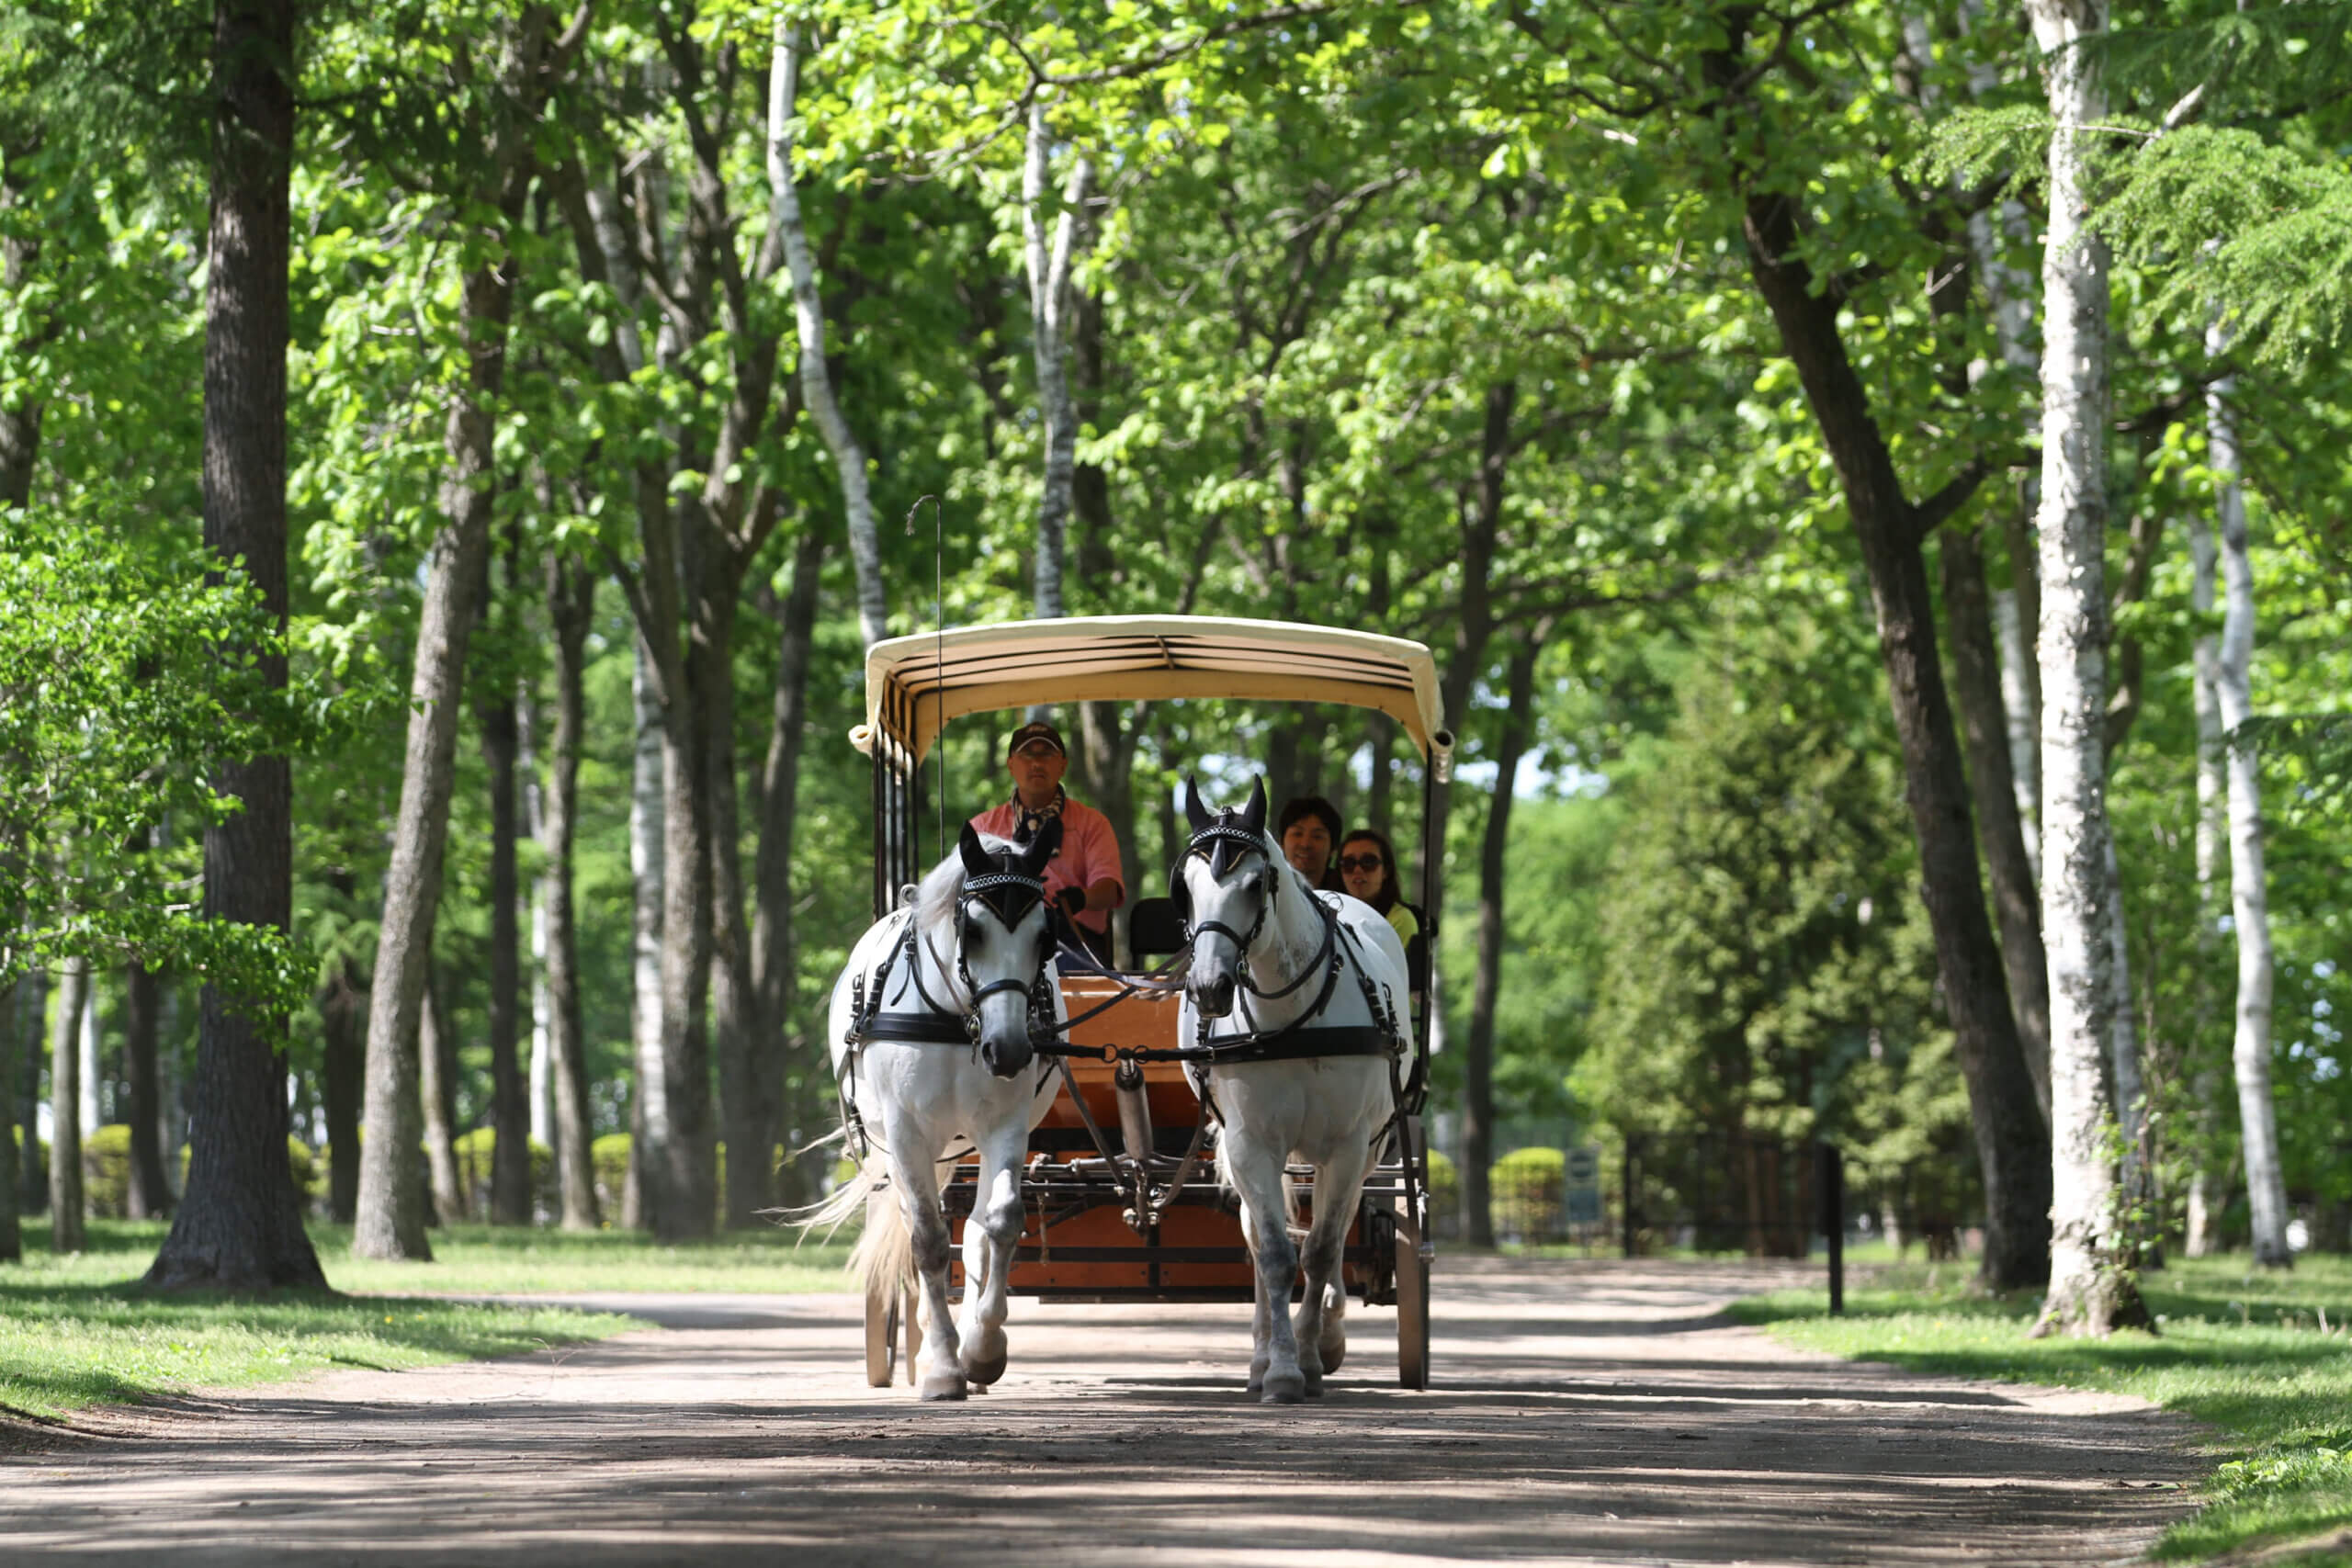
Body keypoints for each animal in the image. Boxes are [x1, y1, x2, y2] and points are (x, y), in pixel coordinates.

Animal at [818, 827, 1058, 1401]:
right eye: (972, 931)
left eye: (1046, 937)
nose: (1009, 1051)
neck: (956, 1018)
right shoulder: (906, 1136)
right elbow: (926, 1241)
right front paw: (945, 1366)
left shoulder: (1005, 1128)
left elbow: (1000, 1223)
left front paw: (983, 1349)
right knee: (917, 1228)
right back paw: (930, 1346)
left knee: (973, 1232)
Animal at [1176, 780, 1411, 1401]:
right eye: (1187, 886)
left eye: (1255, 883)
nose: (1209, 988)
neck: (1294, 1018)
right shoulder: (1250, 1144)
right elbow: (1277, 1254)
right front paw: (1279, 1368)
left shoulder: (1350, 1147)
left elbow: (1323, 1249)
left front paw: (1308, 1357)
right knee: (1262, 1242)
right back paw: (1262, 1357)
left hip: (1366, 1149)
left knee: (1338, 1229)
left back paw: (1325, 1335)